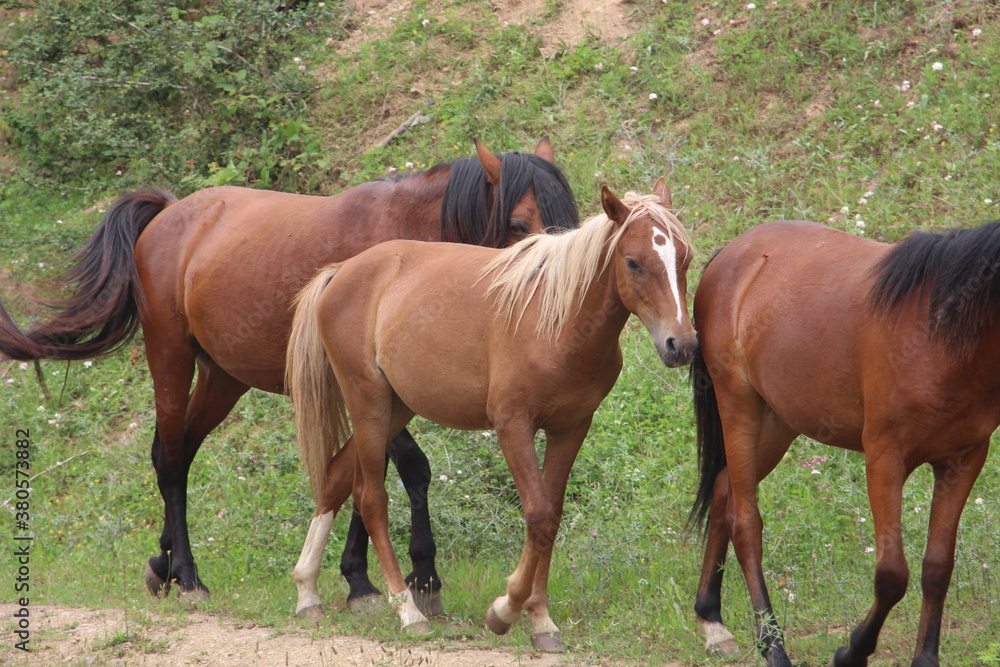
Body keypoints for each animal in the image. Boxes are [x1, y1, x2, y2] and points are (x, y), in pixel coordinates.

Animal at [0, 138, 579, 613]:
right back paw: (187, 576)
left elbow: (362, 475)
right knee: (171, 458)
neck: (405, 245)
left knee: (176, 452)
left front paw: (360, 581)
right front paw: (419, 575)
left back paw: (162, 566)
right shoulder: (365, 386)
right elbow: (402, 470)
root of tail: (170, 213)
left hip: (222, 379)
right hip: (170, 357)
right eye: (519, 224)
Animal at [284, 179, 697, 651]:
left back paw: (307, 591)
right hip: (368, 404)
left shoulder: (570, 429)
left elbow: (551, 517)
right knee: (371, 498)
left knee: (336, 476)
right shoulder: (512, 426)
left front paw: (541, 621)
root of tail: (342, 271)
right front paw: (506, 609)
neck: (557, 322)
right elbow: (538, 515)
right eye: (633, 262)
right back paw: (407, 610)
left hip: (395, 409)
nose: (681, 345)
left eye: (685, 257)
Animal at [689, 219, 999, 667]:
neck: (944, 335)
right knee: (745, 523)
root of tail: (731, 253)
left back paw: (712, 618)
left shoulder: (963, 460)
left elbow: (937, 568)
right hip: (739, 405)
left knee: (722, 489)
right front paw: (851, 651)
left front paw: (925, 658)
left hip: (777, 422)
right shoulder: (885, 459)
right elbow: (892, 575)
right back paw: (773, 646)